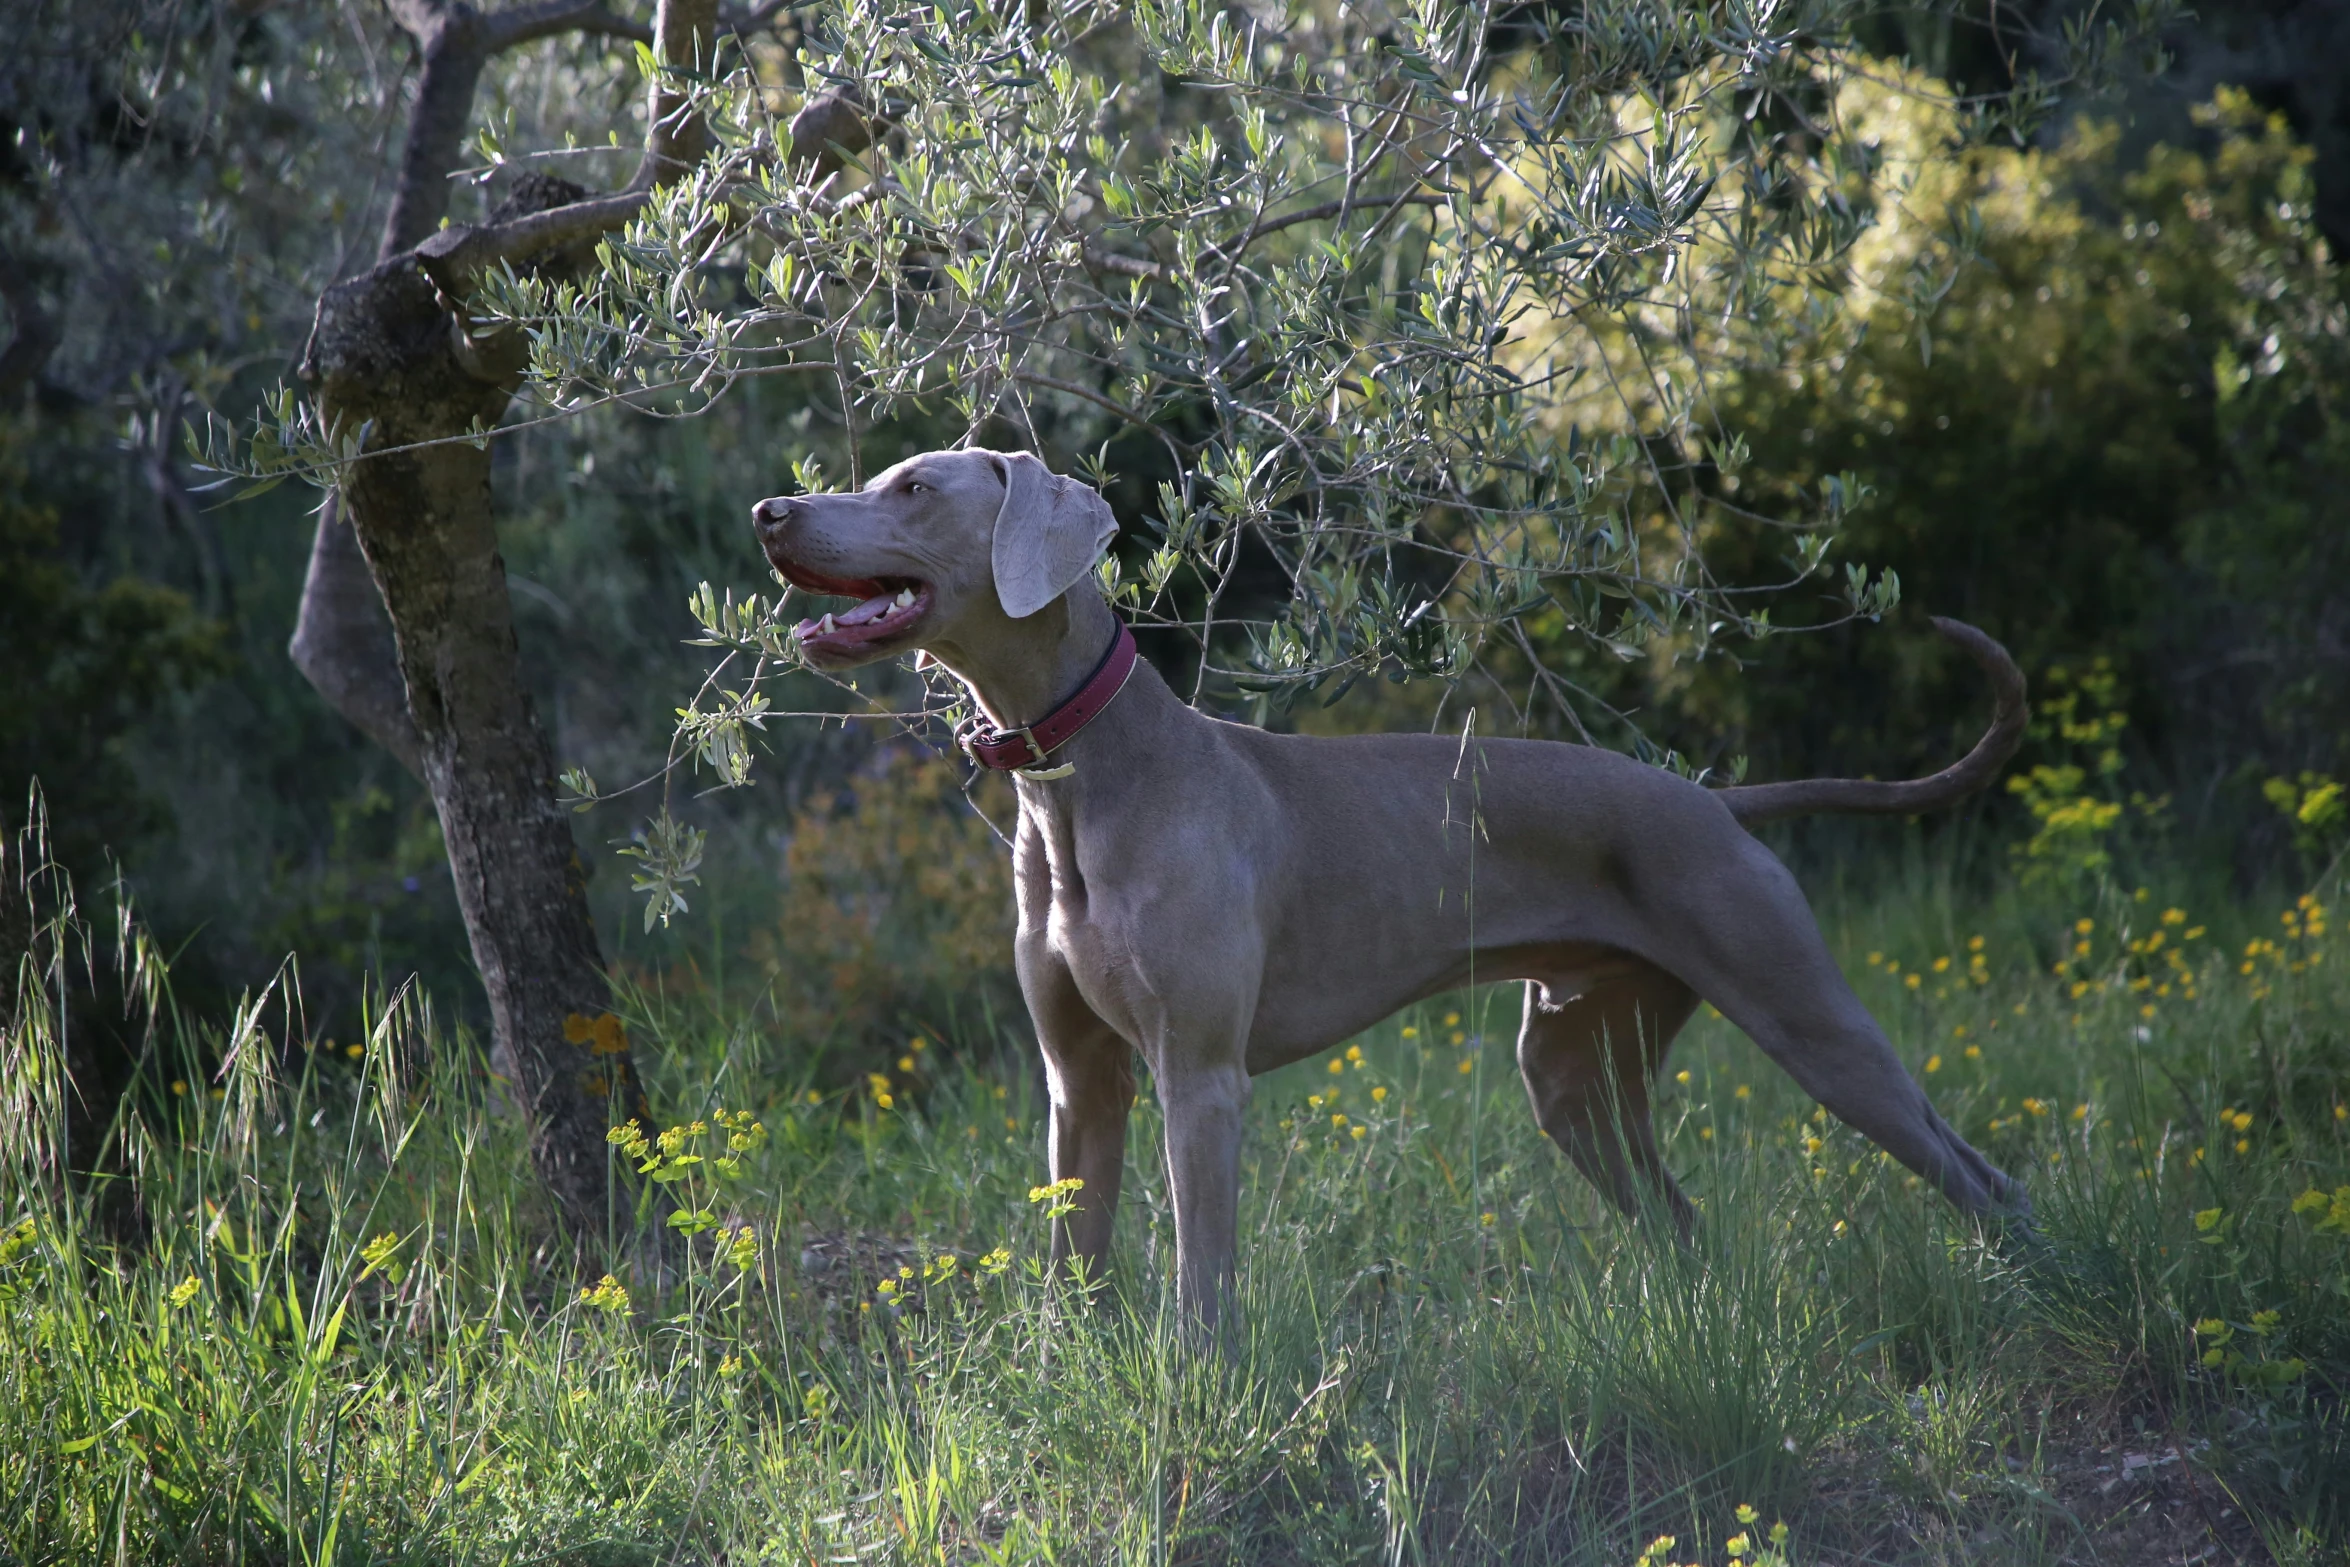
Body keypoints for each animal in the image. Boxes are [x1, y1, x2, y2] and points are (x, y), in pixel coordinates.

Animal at [747, 446, 2020, 1334]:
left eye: (915, 486)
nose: (769, 512)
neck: (1079, 776)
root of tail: (1717, 802)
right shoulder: (1080, 1080)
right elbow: (1079, 1259)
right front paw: (1066, 1372)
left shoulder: (1198, 1077)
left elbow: (1201, 1277)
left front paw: (1194, 1391)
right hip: (1573, 1071)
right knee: (1679, 1215)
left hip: (1806, 1016)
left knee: (1977, 1172)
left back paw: (2024, 1290)